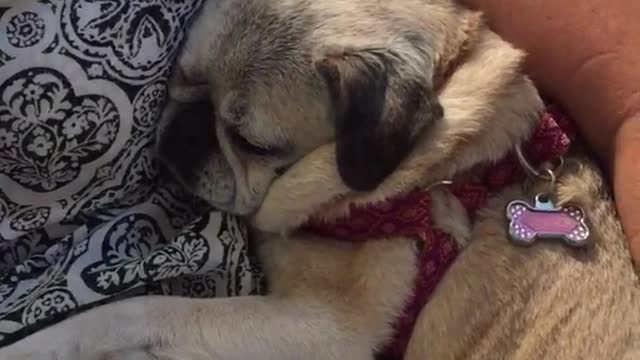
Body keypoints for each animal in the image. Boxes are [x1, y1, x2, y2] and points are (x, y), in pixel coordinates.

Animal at [2, 0, 636, 360]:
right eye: (181, 77)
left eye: (254, 144)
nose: (183, 135)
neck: (441, 176)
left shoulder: (328, 329)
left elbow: (141, 312)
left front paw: (43, 344)